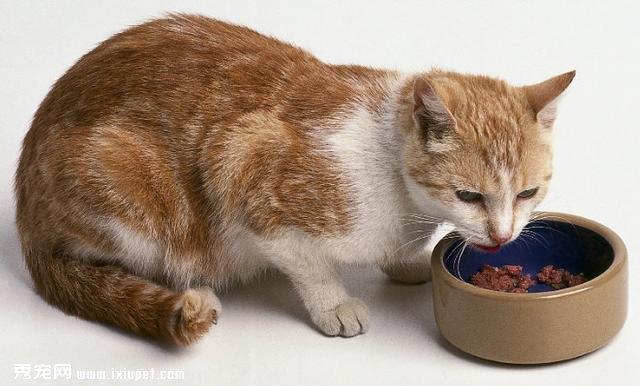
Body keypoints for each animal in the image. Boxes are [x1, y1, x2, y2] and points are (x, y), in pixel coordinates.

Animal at [15, 14, 576, 344]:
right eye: (468, 195)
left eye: (527, 192)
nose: (502, 235)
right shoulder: (245, 169)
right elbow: (312, 266)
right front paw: (335, 304)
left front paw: (405, 261)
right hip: (125, 181)